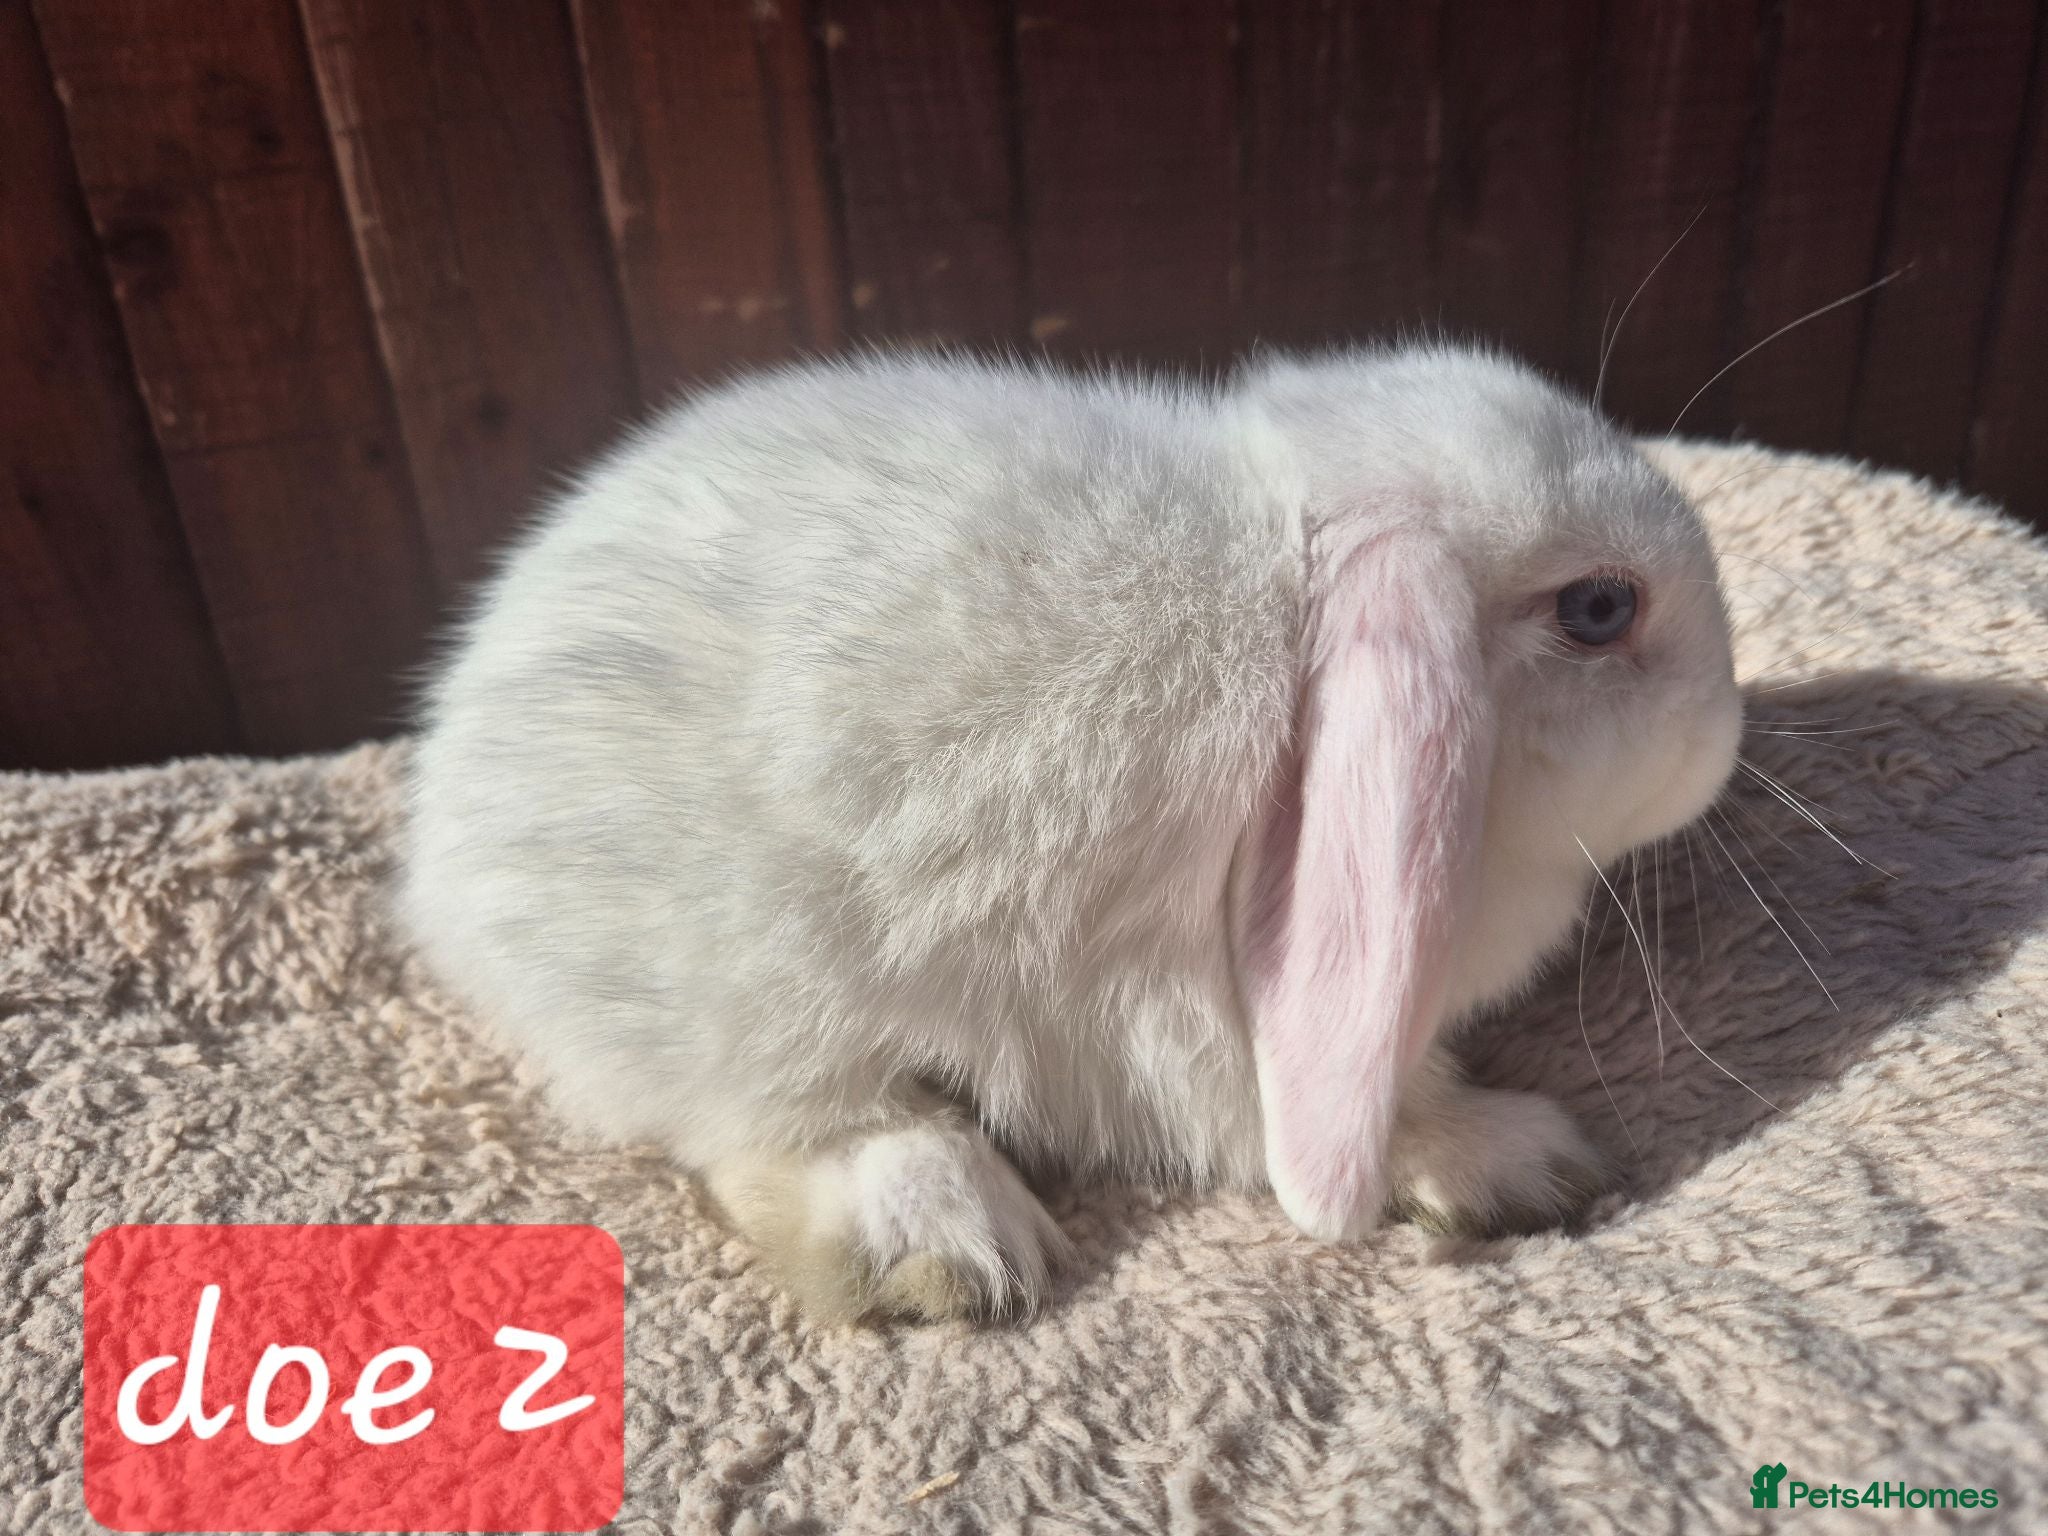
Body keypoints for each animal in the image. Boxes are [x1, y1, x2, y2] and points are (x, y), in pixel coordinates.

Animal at [398, 344, 1743, 1322]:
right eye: (1598, 608)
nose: (1726, 733)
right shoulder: (1215, 1023)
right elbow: (1336, 1111)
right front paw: (1521, 1162)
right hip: (754, 994)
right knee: (791, 1126)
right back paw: (951, 1253)